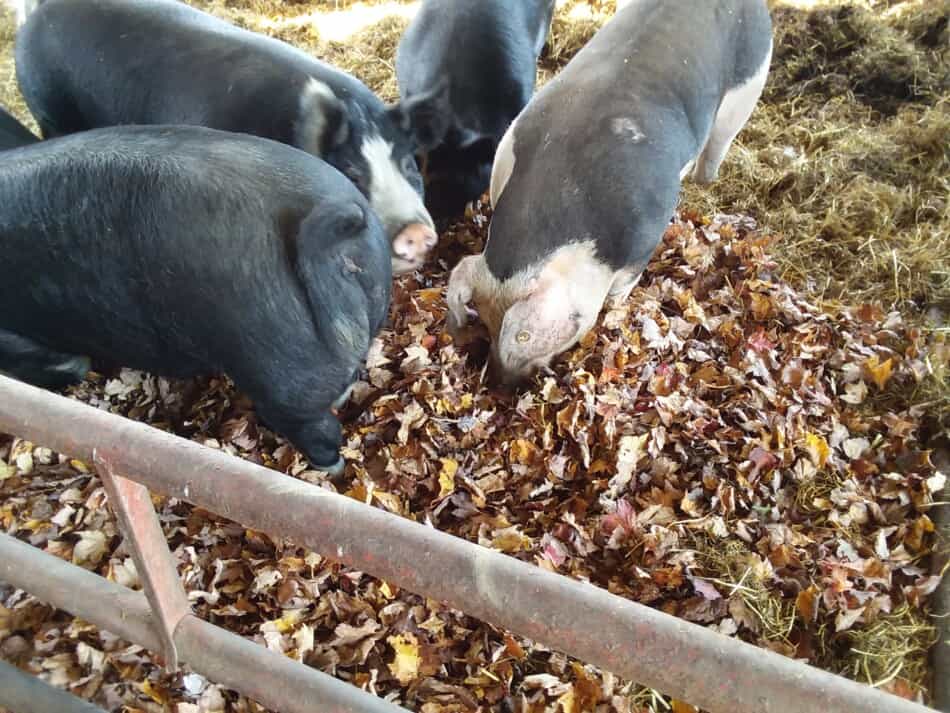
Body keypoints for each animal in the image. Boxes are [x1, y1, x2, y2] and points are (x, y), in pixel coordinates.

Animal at [446, 0, 772, 386]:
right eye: (483, 318)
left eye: (523, 339)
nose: (502, 384)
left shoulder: (644, 240)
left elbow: (622, 289)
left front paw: (616, 309)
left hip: (748, 86)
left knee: (719, 142)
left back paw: (704, 179)